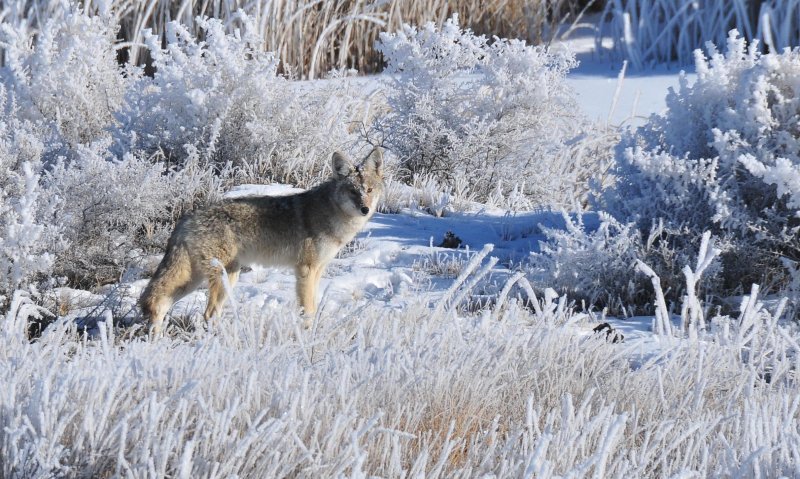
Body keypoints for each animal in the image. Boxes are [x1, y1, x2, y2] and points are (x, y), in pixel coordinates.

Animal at [138, 148, 384, 336]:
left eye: (369, 190)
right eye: (353, 191)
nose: (365, 209)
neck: (331, 214)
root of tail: (187, 218)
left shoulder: (318, 270)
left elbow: (313, 307)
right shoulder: (305, 270)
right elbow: (307, 310)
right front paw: (307, 337)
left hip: (202, 278)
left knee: (161, 303)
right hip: (222, 277)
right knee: (207, 314)